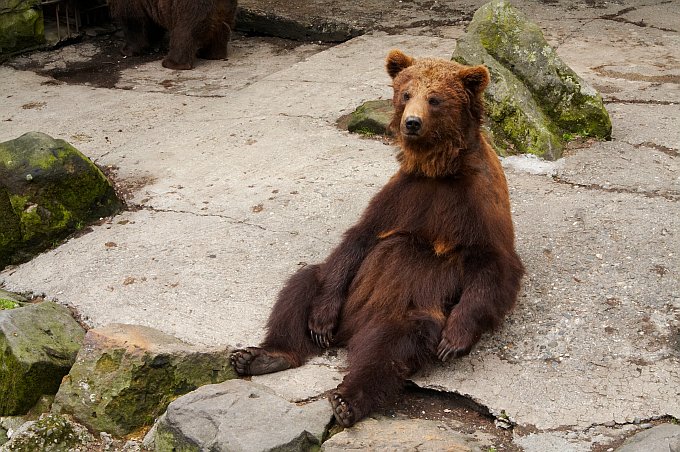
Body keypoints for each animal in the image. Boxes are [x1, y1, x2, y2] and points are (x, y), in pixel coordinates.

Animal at [109, 0, 239, 70]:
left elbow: (133, 22)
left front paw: (127, 50)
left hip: (189, 7)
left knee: (184, 32)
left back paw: (172, 63)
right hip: (225, 9)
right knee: (222, 28)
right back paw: (213, 54)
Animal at [231, 49, 524, 428]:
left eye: (435, 98)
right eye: (406, 93)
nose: (411, 123)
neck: (438, 170)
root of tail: (350, 334)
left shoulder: (475, 205)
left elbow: (495, 267)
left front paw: (454, 339)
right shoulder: (402, 196)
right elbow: (359, 237)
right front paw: (318, 322)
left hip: (404, 312)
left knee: (390, 348)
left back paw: (346, 400)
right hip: (347, 299)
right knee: (304, 283)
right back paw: (264, 355)